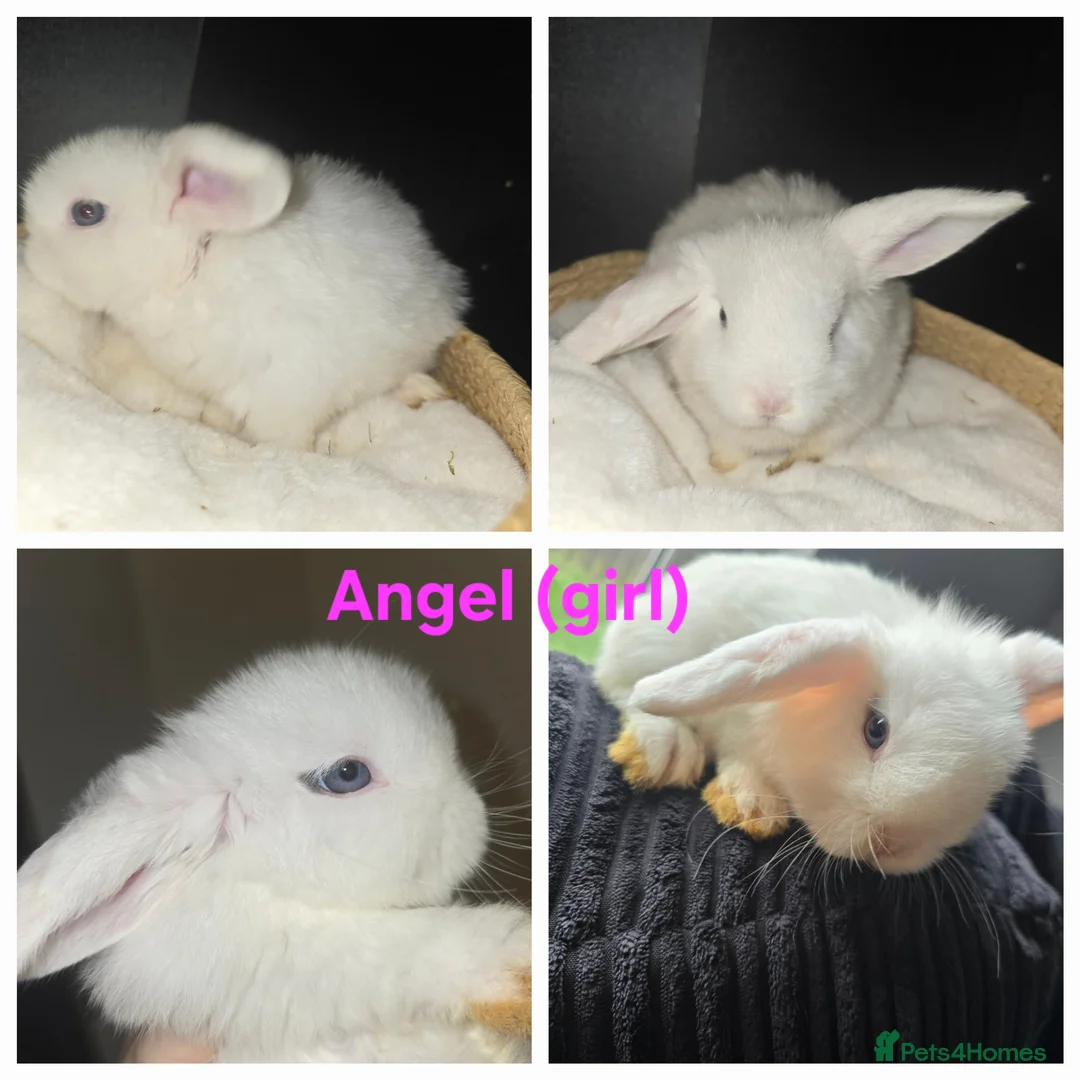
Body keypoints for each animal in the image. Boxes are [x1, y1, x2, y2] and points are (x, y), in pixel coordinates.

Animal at [17, 645, 531, 1062]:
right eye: (347, 774)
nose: (475, 812)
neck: (262, 884)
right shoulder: (273, 966)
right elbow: (391, 947)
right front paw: (519, 962)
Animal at [556, 169, 1028, 474]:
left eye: (835, 327)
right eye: (724, 317)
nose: (772, 404)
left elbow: (820, 445)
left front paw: (799, 460)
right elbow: (728, 450)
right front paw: (722, 468)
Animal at [594, 553, 1063, 875]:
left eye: (991, 783)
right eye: (876, 729)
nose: (892, 846)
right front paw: (754, 803)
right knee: (620, 684)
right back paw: (665, 749)